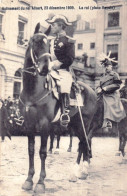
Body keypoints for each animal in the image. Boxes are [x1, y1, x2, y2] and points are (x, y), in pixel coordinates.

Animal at [18, 23, 96, 194]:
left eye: (48, 44)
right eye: (35, 42)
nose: (45, 68)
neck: (33, 90)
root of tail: (92, 90)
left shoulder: (44, 125)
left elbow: (42, 152)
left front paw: (40, 183)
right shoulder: (29, 125)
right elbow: (31, 150)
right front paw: (28, 180)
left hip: (83, 124)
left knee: (84, 142)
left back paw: (81, 171)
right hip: (74, 123)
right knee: (82, 144)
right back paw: (78, 172)